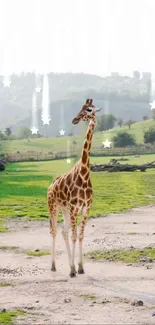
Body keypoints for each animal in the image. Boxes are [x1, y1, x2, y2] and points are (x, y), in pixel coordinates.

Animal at [47, 98, 100, 276]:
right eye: (81, 107)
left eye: (89, 109)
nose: (74, 119)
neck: (84, 173)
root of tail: (50, 186)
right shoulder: (74, 208)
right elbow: (75, 236)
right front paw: (72, 269)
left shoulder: (86, 208)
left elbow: (81, 236)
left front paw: (80, 267)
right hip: (53, 207)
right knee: (54, 231)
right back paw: (53, 266)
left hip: (64, 209)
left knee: (64, 231)